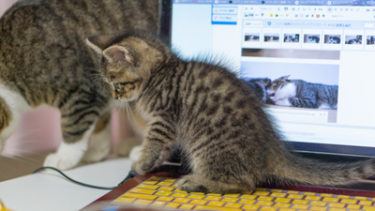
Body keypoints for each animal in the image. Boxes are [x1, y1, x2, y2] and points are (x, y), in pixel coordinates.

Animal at [0, 0, 159, 169]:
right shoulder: (103, 88)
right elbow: (101, 120)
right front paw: (98, 151)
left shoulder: (84, 90)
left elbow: (74, 124)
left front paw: (64, 156)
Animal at [86, 30, 375, 194]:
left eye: (116, 84)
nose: (115, 97)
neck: (162, 70)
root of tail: (271, 148)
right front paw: (154, 162)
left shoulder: (164, 120)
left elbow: (152, 143)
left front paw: (142, 162)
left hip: (207, 148)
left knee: (246, 185)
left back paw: (199, 182)